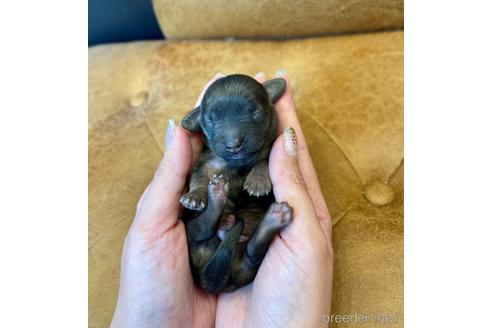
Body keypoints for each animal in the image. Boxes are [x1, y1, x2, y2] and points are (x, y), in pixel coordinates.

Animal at [183, 74, 294, 292]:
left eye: (256, 113)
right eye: (210, 121)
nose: (234, 144)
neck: (238, 164)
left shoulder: (268, 150)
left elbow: (262, 161)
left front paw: (257, 182)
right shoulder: (206, 163)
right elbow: (198, 179)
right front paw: (194, 196)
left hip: (248, 263)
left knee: (252, 253)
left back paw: (272, 219)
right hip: (191, 234)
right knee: (200, 228)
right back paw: (218, 199)